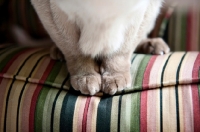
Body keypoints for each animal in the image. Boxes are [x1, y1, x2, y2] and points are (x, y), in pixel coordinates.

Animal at [31, 0, 172, 95]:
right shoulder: (57, 12)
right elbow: (77, 53)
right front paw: (86, 78)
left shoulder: (136, 11)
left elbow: (119, 53)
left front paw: (114, 78)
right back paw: (58, 52)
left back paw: (154, 46)